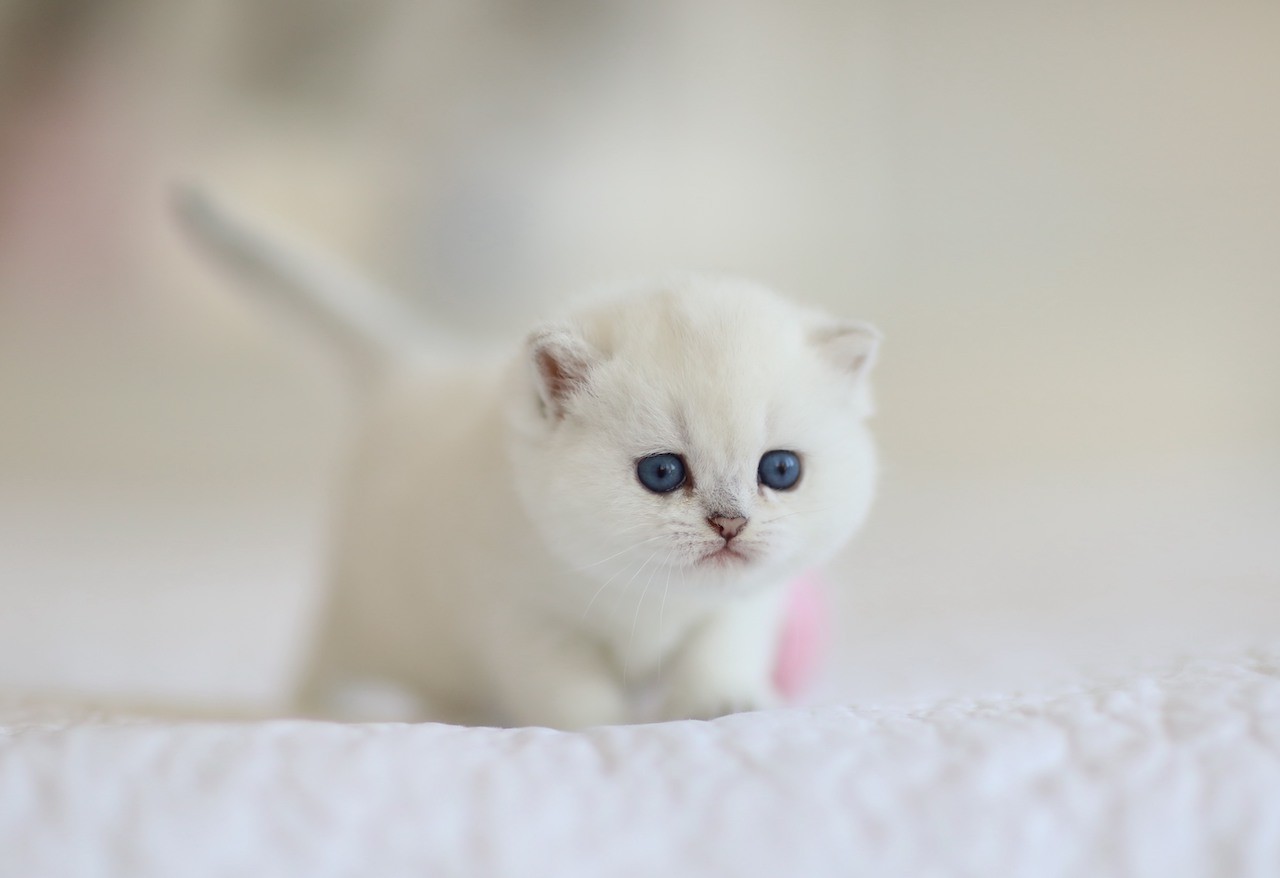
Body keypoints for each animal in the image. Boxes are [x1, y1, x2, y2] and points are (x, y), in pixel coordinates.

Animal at [174, 186, 881, 729]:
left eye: (780, 471)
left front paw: (721, 705)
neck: (649, 596)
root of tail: (417, 366)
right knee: (322, 661)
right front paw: (605, 728)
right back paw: (321, 707)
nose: (730, 523)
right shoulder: (523, 620)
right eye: (662, 473)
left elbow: (718, 652)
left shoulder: (743, 607)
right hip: (363, 613)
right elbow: (570, 695)